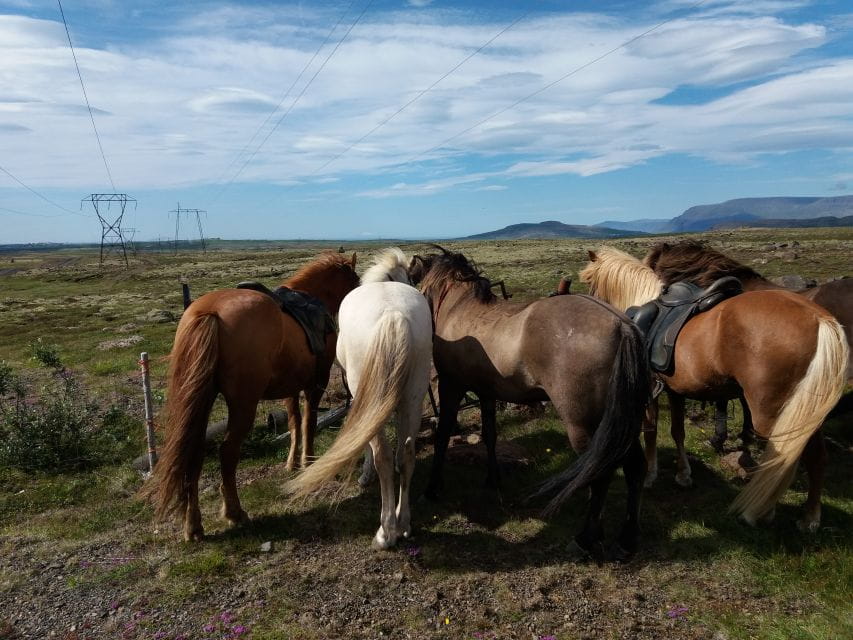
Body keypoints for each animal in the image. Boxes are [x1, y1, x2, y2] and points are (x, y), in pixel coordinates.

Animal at [143, 252, 360, 541]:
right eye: (355, 281)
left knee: (195, 452)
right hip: (243, 404)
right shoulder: (316, 383)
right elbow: (309, 422)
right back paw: (235, 513)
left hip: (202, 401)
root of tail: (210, 312)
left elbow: (294, 422)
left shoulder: (290, 387)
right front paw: (309, 462)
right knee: (227, 452)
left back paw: (193, 525)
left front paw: (292, 463)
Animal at [286, 248, 432, 550]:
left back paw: (386, 532)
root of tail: (393, 316)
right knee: (407, 454)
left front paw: (365, 475)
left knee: (383, 456)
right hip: (414, 396)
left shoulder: (359, 395)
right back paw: (404, 524)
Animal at [410, 247, 650, 560]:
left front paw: (432, 489)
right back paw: (627, 539)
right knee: (635, 469)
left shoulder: (452, 388)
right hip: (622, 423)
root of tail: (623, 326)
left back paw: (585, 538)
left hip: (586, 427)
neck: (459, 309)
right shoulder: (486, 393)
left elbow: (442, 438)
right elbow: (489, 434)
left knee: (601, 475)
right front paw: (493, 479)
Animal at [580, 247, 848, 531]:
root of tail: (820, 319)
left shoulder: (651, 390)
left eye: (589, 281)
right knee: (817, 457)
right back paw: (810, 518)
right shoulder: (674, 391)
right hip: (808, 412)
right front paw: (683, 474)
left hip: (774, 414)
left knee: (785, 459)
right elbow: (677, 431)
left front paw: (651, 474)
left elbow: (651, 431)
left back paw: (763, 512)